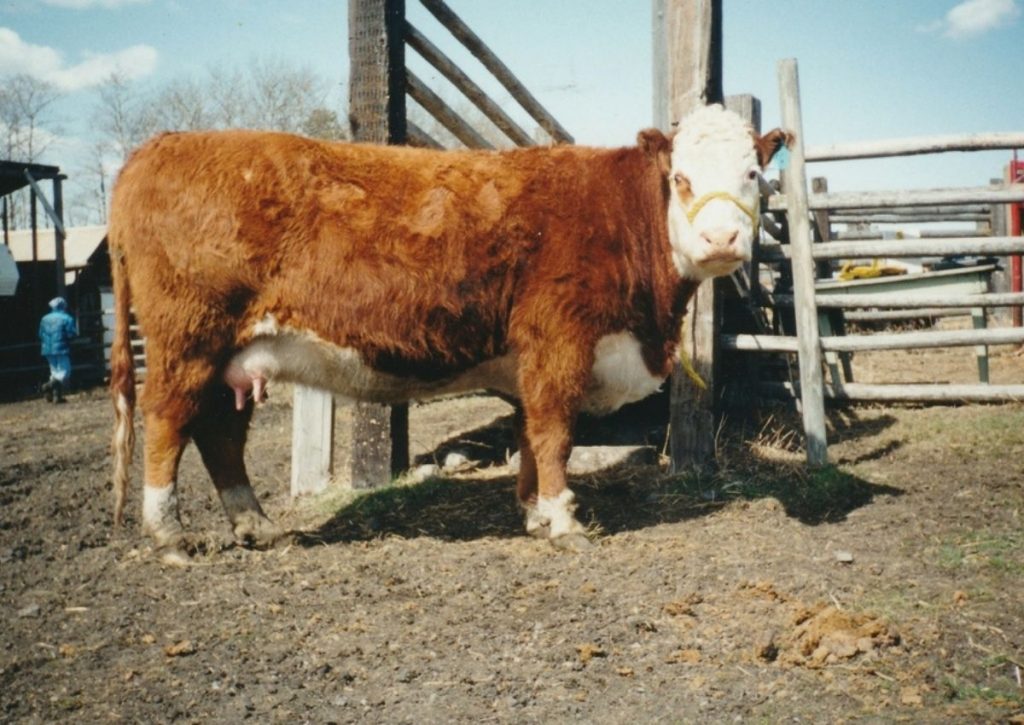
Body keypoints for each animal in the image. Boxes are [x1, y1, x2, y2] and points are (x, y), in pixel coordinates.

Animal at [108, 104, 786, 565]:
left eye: (754, 174)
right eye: (680, 178)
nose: (721, 239)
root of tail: (161, 146)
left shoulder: (527, 361)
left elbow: (528, 434)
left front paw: (534, 512)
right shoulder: (559, 342)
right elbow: (555, 432)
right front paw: (564, 521)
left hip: (236, 354)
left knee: (220, 431)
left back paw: (256, 526)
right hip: (187, 338)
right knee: (168, 418)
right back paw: (169, 535)